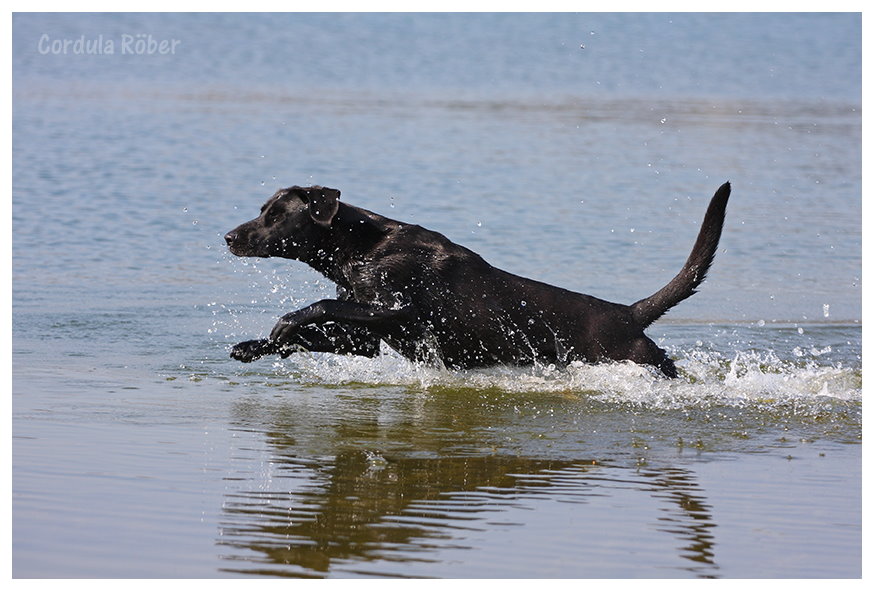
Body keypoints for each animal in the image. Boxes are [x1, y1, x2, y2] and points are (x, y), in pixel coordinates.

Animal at [225, 182, 728, 380]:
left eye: (275, 215)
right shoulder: (363, 336)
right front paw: (254, 346)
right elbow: (319, 328)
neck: (363, 248)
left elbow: (319, 307)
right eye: (262, 209)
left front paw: (283, 323)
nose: (229, 236)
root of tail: (628, 314)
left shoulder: (399, 310)